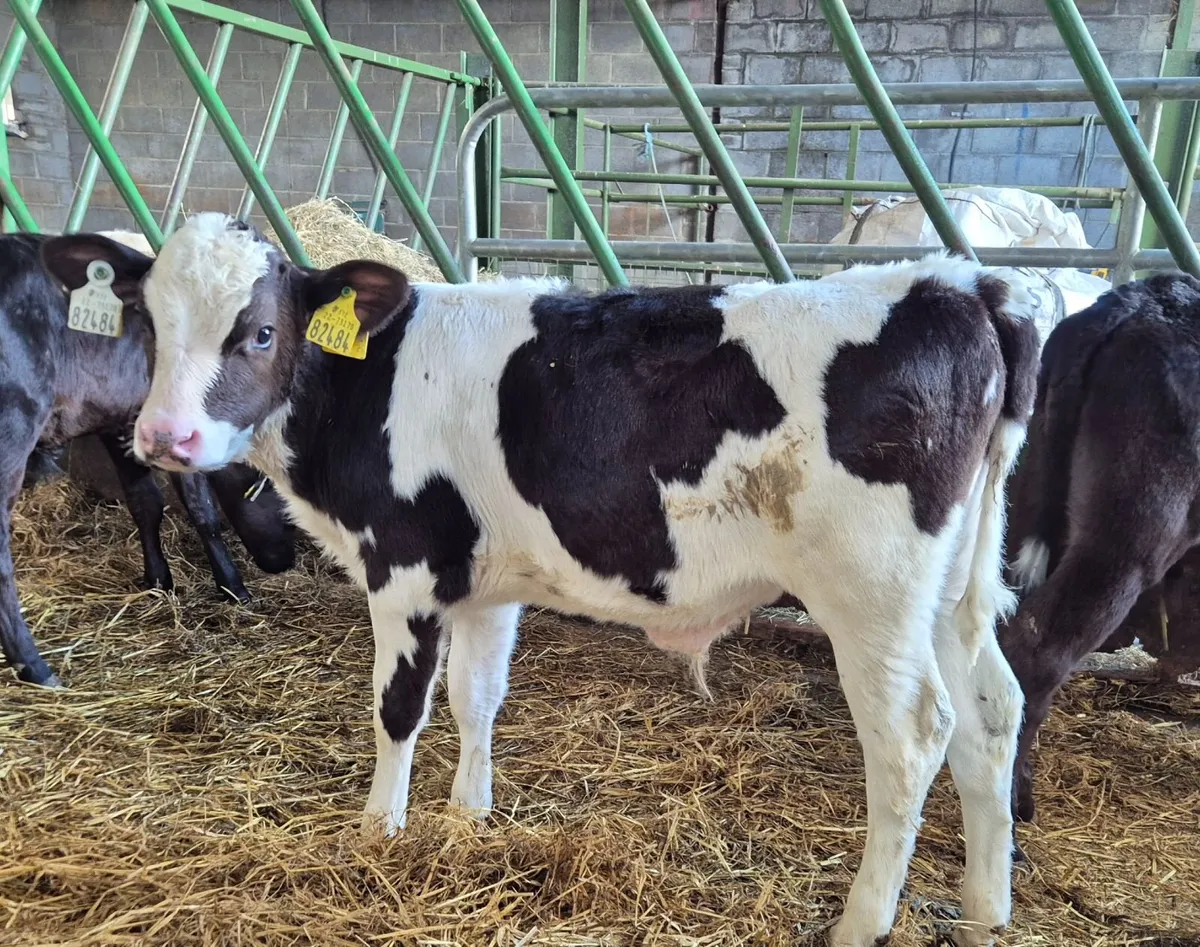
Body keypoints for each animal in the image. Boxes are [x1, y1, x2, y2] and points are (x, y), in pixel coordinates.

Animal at [0, 231, 297, 688]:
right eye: (273, 493)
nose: (284, 563)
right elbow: (202, 510)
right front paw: (233, 586)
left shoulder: (118, 421)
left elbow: (145, 503)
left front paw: (158, 579)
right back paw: (35, 666)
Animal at [42, 214, 1041, 947]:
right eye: (150, 325)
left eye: (257, 331)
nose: (164, 438)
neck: (370, 383)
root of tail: (965, 284)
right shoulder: (487, 581)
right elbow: (476, 697)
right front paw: (467, 817)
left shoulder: (404, 564)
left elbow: (398, 706)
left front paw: (380, 830)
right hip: (949, 593)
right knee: (991, 711)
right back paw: (986, 908)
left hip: (872, 595)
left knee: (912, 737)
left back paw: (861, 923)